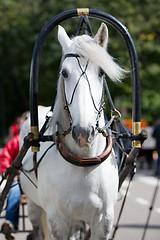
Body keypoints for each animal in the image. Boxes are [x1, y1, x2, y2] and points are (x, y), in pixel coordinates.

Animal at [19, 23, 125, 240]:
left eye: (101, 73)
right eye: (65, 73)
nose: (83, 132)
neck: (83, 159)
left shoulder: (103, 221)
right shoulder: (57, 221)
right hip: (33, 206)